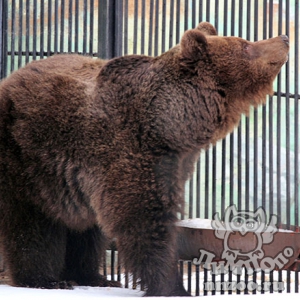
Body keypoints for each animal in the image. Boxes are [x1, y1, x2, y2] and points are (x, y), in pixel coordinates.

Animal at [0, 22, 288, 296]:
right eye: (245, 45)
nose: (283, 38)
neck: (171, 125)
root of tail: (10, 78)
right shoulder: (128, 152)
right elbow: (144, 219)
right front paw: (172, 287)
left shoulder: (174, 163)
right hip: (26, 160)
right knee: (31, 225)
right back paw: (44, 279)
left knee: (86, 232)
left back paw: (93, 276)